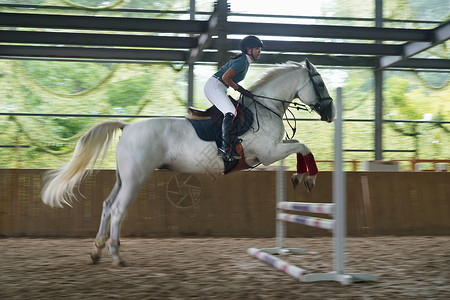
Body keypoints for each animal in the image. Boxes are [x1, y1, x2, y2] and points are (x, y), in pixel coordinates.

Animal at [41, 58, 334, 264]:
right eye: (320, 84)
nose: (331, 113)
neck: (264, 108)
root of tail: (128, 127)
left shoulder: (273, 150)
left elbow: (300, 146)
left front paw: (300, 176)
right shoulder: (268, 154)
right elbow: (303, 146)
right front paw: (307, 177)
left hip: (123, 178)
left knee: (106, 205)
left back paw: (97, 250)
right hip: (136, 178)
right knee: (118, 209)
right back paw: (116, 255)